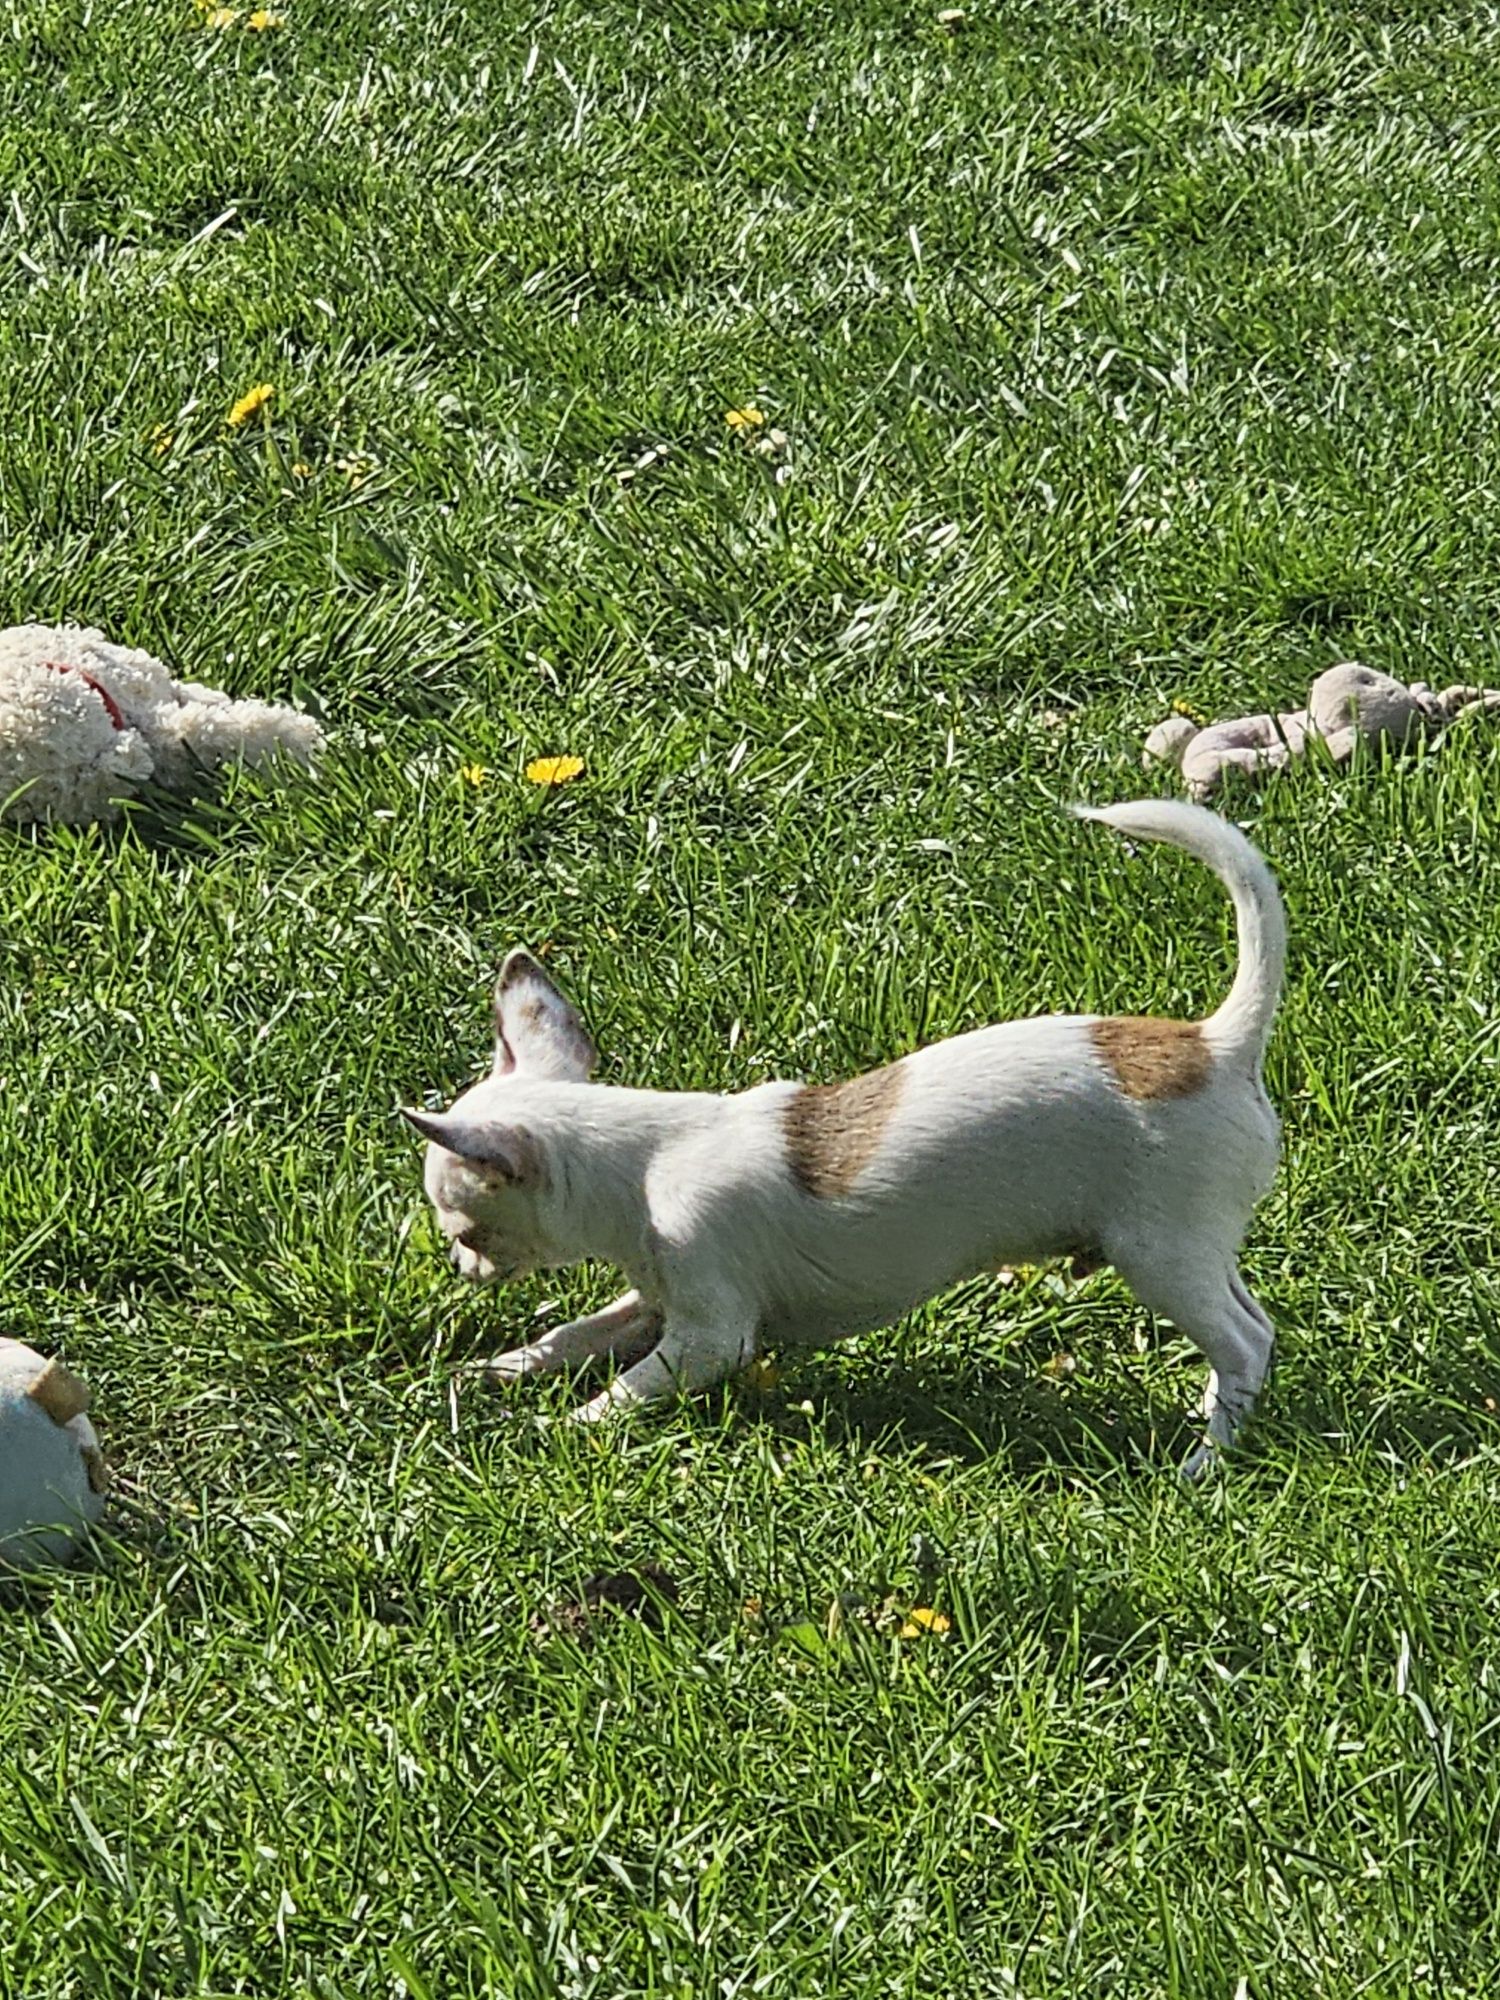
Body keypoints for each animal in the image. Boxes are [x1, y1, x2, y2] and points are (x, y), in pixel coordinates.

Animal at [412, 796, 1296, 1472]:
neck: (641, 1164)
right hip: (1194, 1250)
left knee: (1243, 1343)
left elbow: (630, 1387)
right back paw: (1217, 1419)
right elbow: (572, 1333)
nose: (460, 1268)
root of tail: (1217, 1044)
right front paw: (496, 1369)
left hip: (1158, 1252)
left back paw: (1206, 1459)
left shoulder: (710, 1334)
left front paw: (563, 1427)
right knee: (1253, 1326)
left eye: (464, 1230)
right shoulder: (655, 1300)